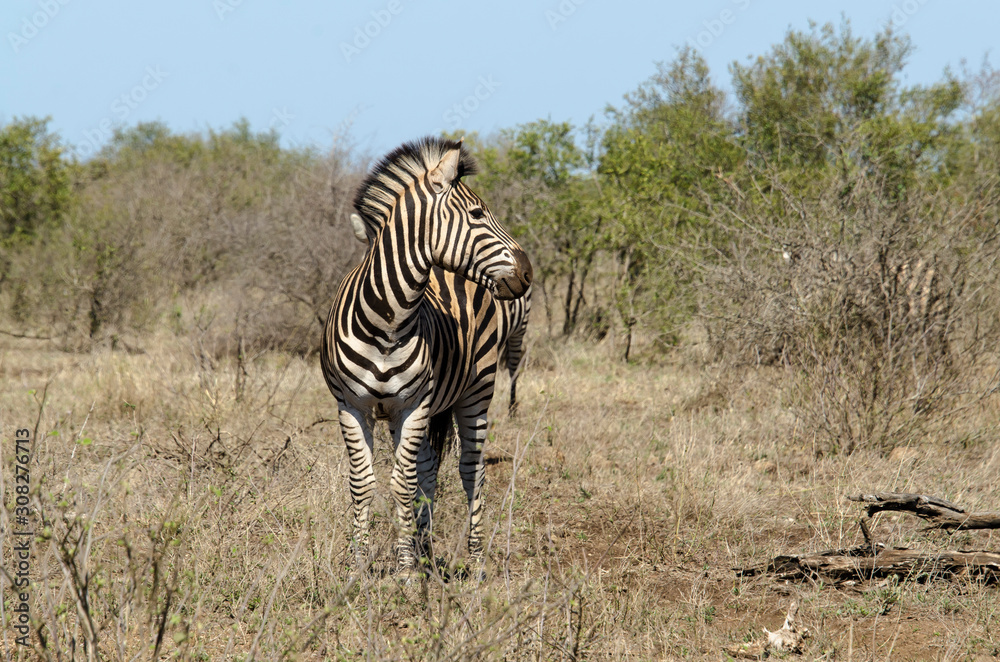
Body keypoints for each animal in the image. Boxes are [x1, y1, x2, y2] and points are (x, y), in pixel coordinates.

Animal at [321, 137, 532, 576]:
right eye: (477, 214)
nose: (528, 273)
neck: (386, 320)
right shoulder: (351, 406)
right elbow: (364, 483)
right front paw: (358, 566)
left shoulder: (413, 405)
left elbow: (402, 483)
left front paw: (404, 569)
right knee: (430, 469)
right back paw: (425, 549)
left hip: (477, 392)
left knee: (471, 472)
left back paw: (475, 560)